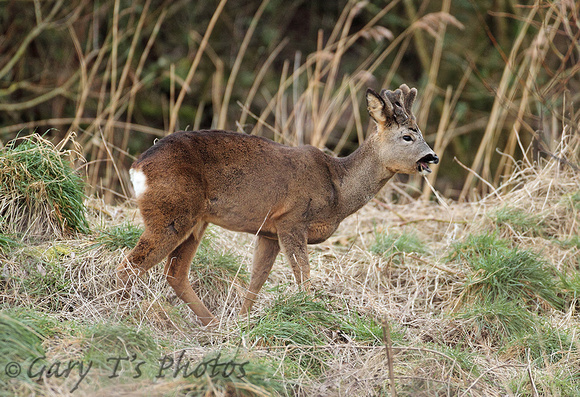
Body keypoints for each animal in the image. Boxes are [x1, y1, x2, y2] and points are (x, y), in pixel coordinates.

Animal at [115, 83, 438, 324]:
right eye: (407, 136)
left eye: (421, 133)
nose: (432, 156)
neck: (339, 188)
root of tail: (137, 167)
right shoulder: (291, 220)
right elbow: (303, 276)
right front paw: (309, 314)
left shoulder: (268, 232)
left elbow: (256, 281)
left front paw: (242, 322)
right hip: (171, 213)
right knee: (130, 265)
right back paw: (125, 317)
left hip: (195, 221)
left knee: (175, 273)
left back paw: (212, 324)